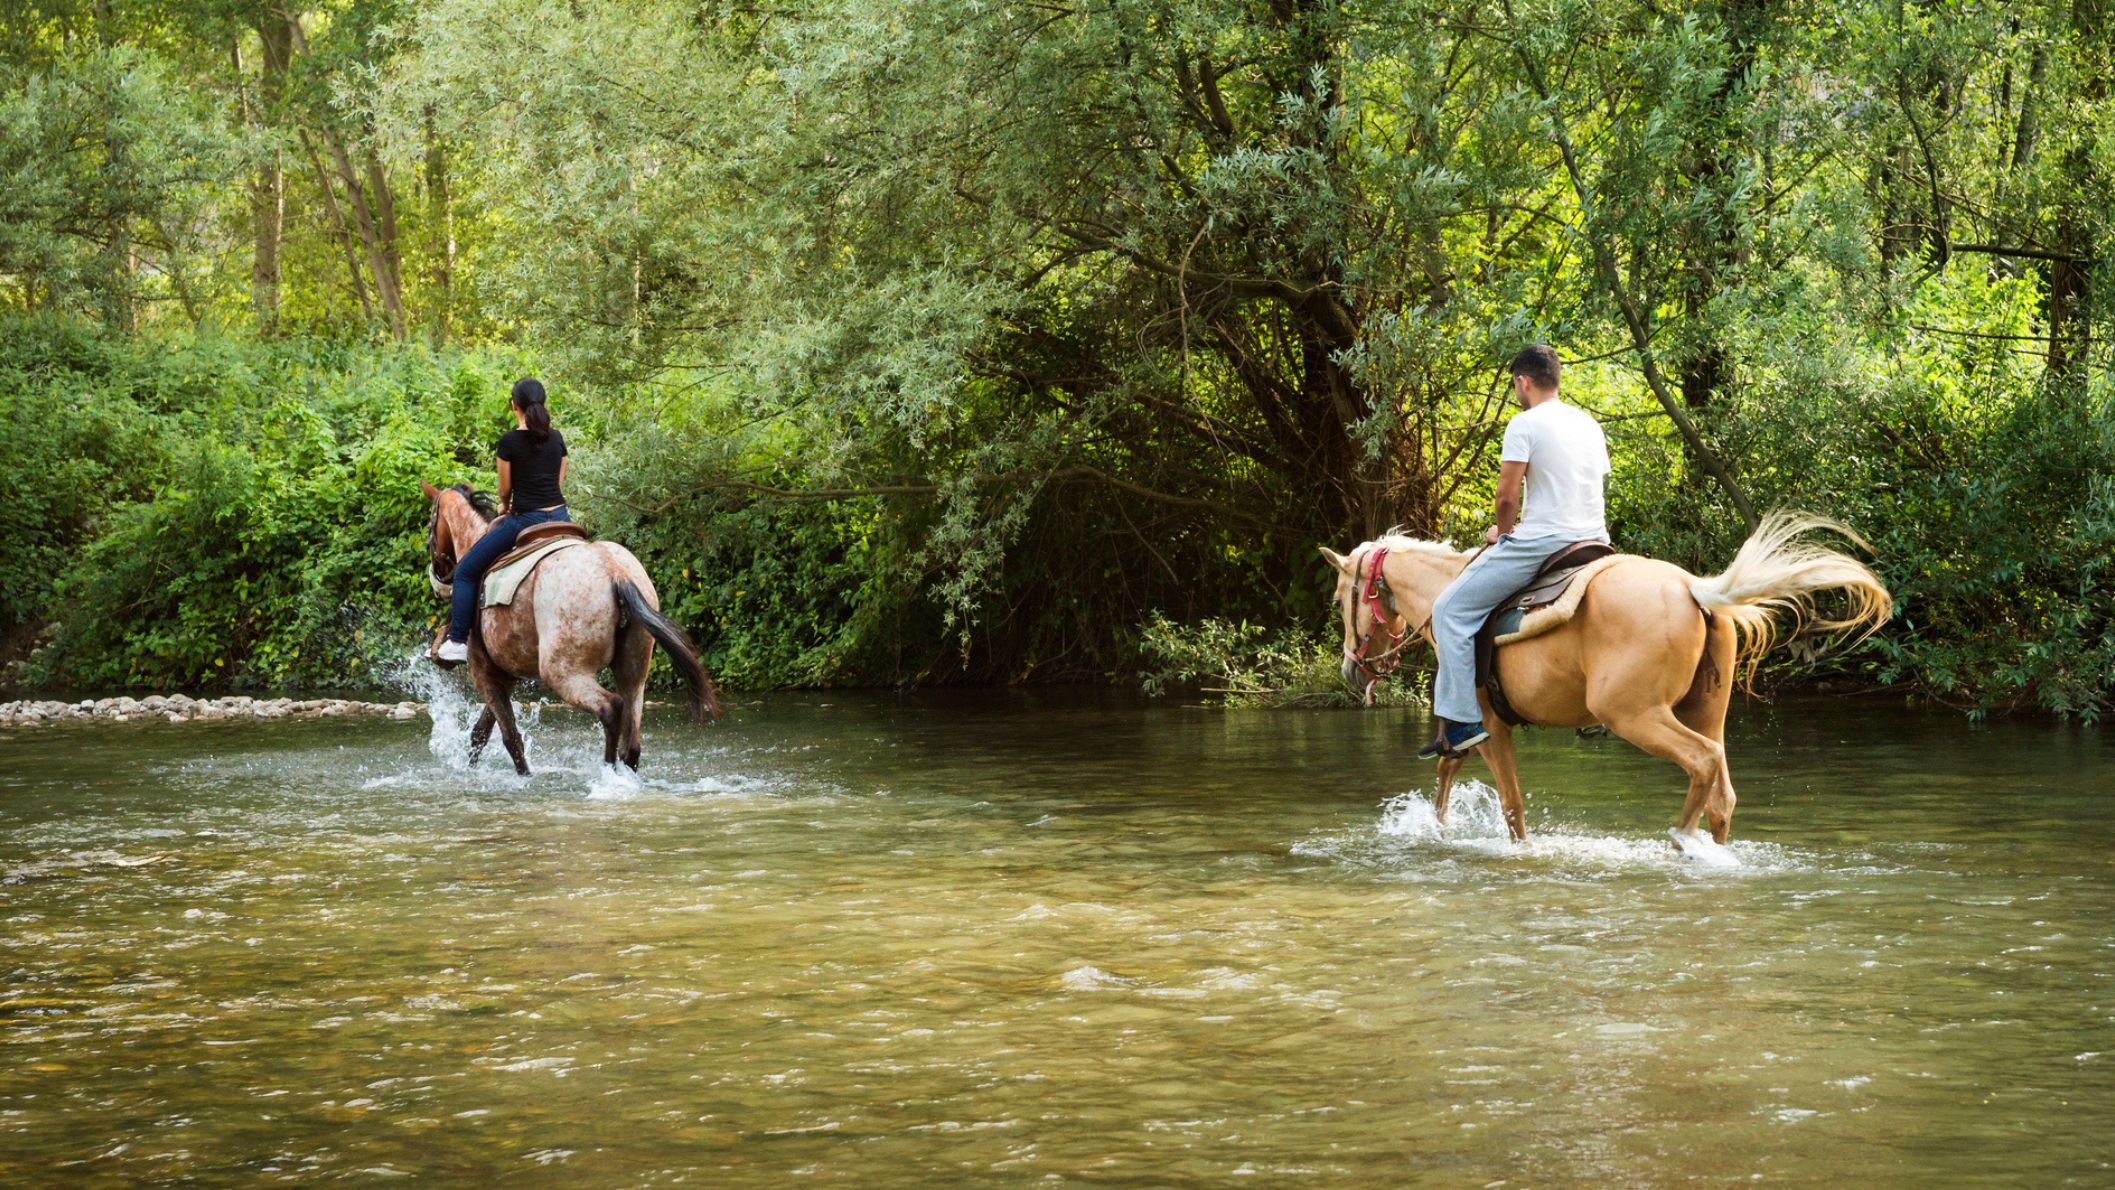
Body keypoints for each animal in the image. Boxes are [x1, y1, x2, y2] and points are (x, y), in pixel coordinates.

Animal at [420, 481, 723, 774]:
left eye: (429, 532)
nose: (437, 580)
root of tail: (616, 572)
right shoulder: (505, 676)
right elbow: (481, 733)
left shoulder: (483, 671)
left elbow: (511, 739)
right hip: (634, 673)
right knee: (632, 741)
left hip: (564, 672)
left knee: (610, 708)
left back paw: (608, 772)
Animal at [1320, 512, 1892, 851]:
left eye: (1339, 598)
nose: (1350, 669)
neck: (1446, 594)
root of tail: (1694, 590)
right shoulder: (1470, 730)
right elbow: (1446, 772)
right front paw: (1436, 831)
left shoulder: (1487, 726)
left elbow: (1510, 804)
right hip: (1706, 710)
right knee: (1721, 793)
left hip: (1635, 715)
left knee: (1701, 762)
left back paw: (1681, 841)